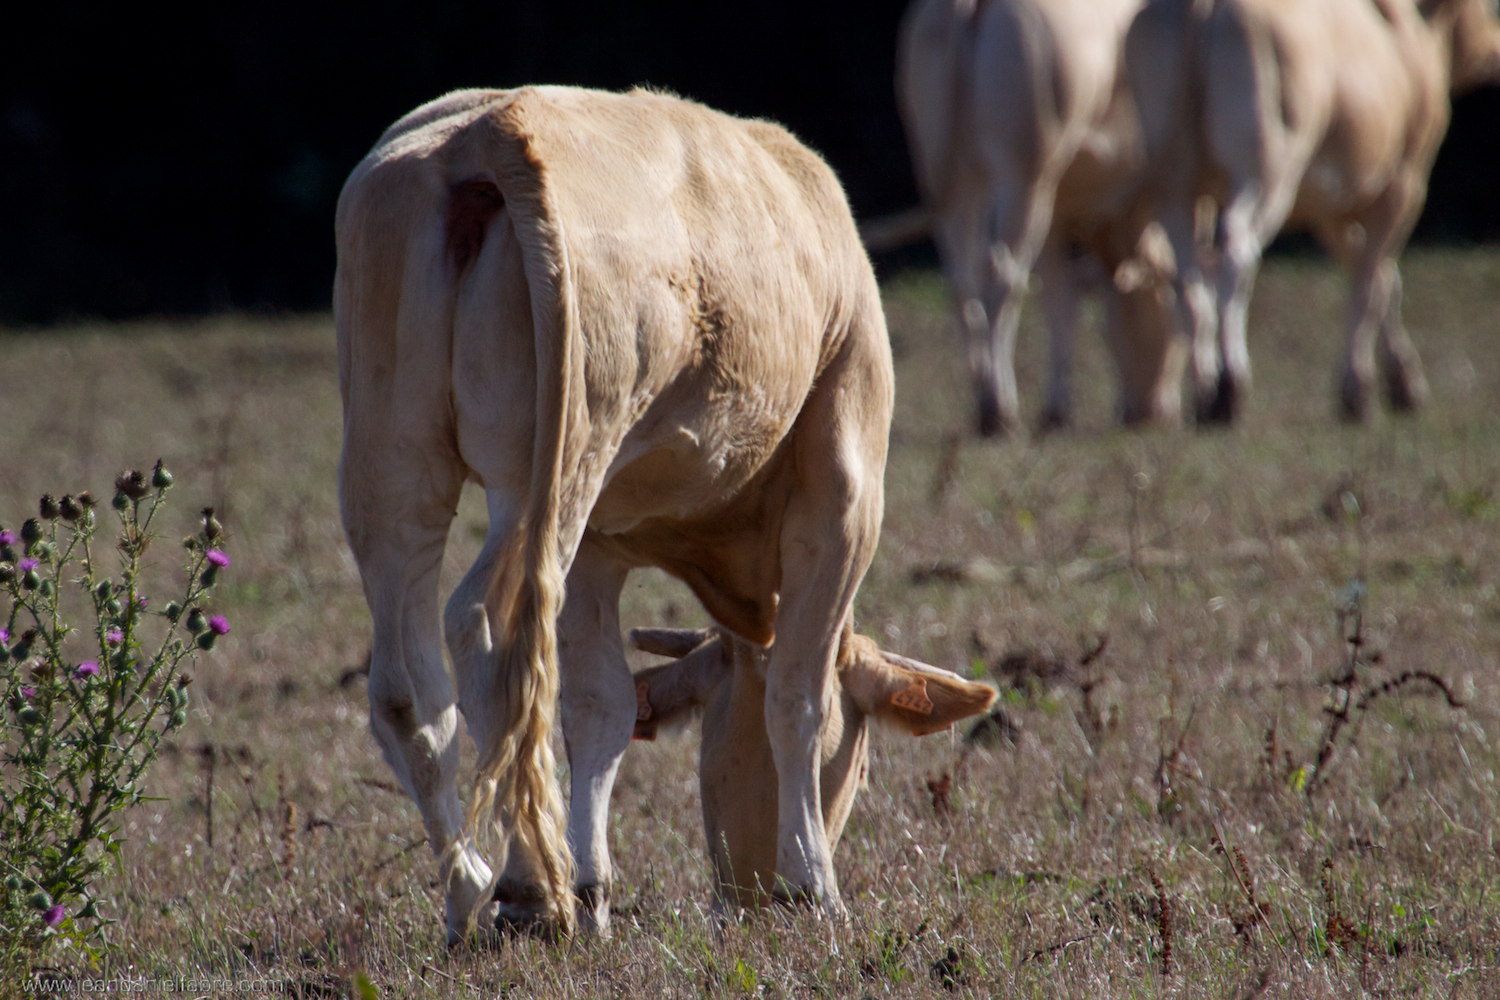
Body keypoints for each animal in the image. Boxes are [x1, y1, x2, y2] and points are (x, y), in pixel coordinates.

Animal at [335, 84, 968, 944]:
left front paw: (595, 887)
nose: (748, 891)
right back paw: (527, 889)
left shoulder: (604, 543)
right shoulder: (845, 491)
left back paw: (470, 892)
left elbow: (600, 706)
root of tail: (491, 125)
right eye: (863, 762)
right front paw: (815, 884)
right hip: (554, 464)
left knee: (408, 684)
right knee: (488, 631)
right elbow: (798, 693)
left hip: (393, 459)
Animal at [897, 0, 1185, 436]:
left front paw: (1057, 407)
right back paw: (1000, 408)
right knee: (1003, 275)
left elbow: (1061, 301)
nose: (1156, 413)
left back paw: (982, 393)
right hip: (1024, 174)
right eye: (1169, 321)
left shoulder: (1061, 213)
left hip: (948, 175)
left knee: (963, 279)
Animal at [1126, 0, 1500, 424]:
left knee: (1186, 278)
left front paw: (1401, 380)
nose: (1494, 47)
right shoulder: (1403, 185)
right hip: (1266, 170)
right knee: (1237, 255)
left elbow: (1377, 276)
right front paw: (1359, 391)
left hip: (1174, 182)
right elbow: (1372, 283)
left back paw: (1206, 393)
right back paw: (1230, 388)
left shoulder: (1331, 209)